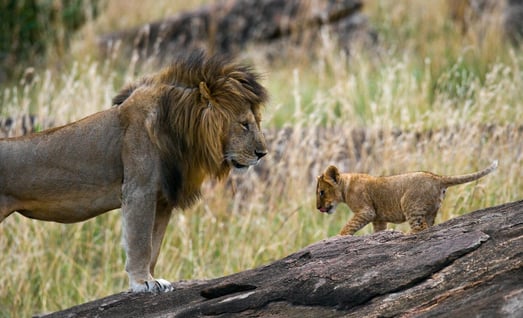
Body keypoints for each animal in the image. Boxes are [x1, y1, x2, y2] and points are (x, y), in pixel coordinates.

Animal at [0, 52, 268, 294]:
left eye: (257, 122)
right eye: (244, 124)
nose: (262, 153)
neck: (179, 132)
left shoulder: (162, 199)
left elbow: (154, 244)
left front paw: (152, 279)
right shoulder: (139, 190)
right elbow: (140, 242)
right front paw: (143, 283)